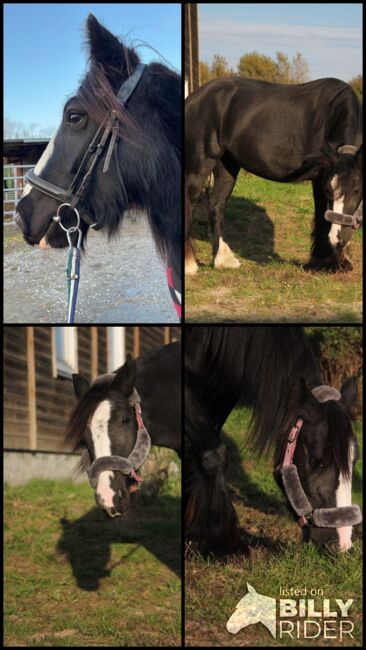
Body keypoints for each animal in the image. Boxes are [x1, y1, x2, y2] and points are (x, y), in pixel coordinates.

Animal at [184, 76, 362, 274]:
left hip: (226, 166)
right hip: (200, 164)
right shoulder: (319, 179)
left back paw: (224, 260)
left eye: (356, 190)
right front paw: (324, 262)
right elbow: (322, 217)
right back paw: (189, 265)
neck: (330, 116)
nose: (338, 239)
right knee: (190, 203)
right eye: (329, 190)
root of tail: (194, 98)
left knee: (216, 206)